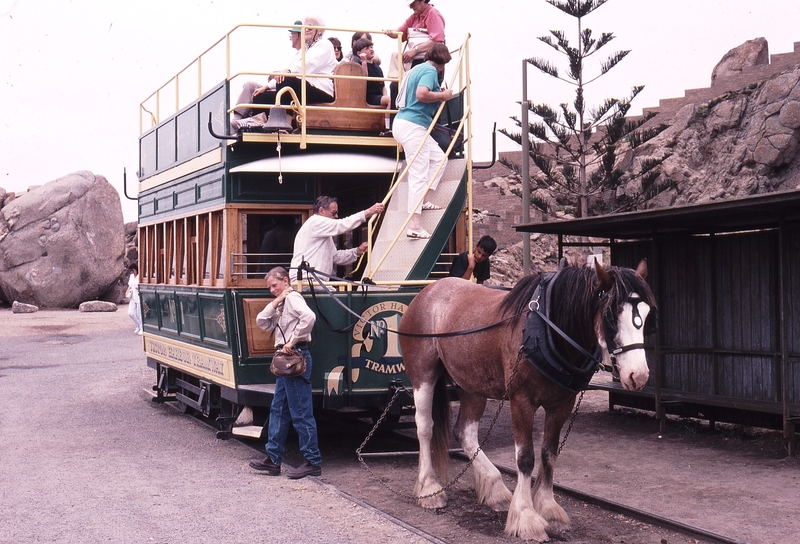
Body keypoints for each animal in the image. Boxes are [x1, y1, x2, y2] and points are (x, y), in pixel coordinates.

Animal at [400, 262, 656, 540]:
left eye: (647, 314)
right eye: (610, 315)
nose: (638, 375)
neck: (546, 330)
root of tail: (429, 291)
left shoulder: (561, 404)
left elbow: (549, 454)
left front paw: (548, 508)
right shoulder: (520, 401)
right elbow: (525, 458)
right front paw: (525, 516)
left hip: (472, 384)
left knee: (465, 432)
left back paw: (495, 489)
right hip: (423, 375)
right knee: (425, 428)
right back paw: (428, 488)